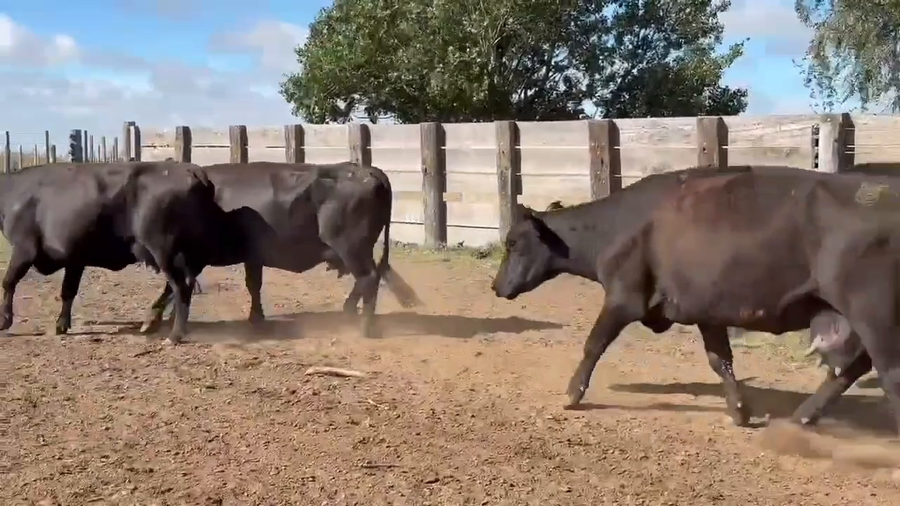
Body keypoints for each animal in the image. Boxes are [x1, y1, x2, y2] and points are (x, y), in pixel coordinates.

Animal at [0, 161, 235, 344]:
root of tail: (191, 169)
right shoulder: (75, 258)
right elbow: (68, 291)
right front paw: (61, 325)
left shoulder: (24, 249)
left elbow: (8, 282)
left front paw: (4, 321)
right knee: (180, 284)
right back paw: (152, 320)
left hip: (164, 249)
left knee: (180, 286)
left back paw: (174, 334)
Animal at [138, 161, 421, 338]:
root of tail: (368, 171)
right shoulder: (250, 256)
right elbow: (253, 284)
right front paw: (256, 317)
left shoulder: (193, 255)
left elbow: (174, 286)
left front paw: (153, 319)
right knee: (367, 279)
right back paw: (350, 311)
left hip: (351, 247)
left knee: (368, 278)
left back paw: (365, 326)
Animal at [490, 165, 900, 435]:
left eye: (513, 243)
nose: (496, 286)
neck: (616, 226)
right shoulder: (706, 310)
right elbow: (721, 360)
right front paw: (740, 410)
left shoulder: (624, 298)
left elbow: (594, 344)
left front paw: (572, 394)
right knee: (852, 367)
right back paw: (803, 416)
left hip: (874, 316)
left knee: (887, 374)